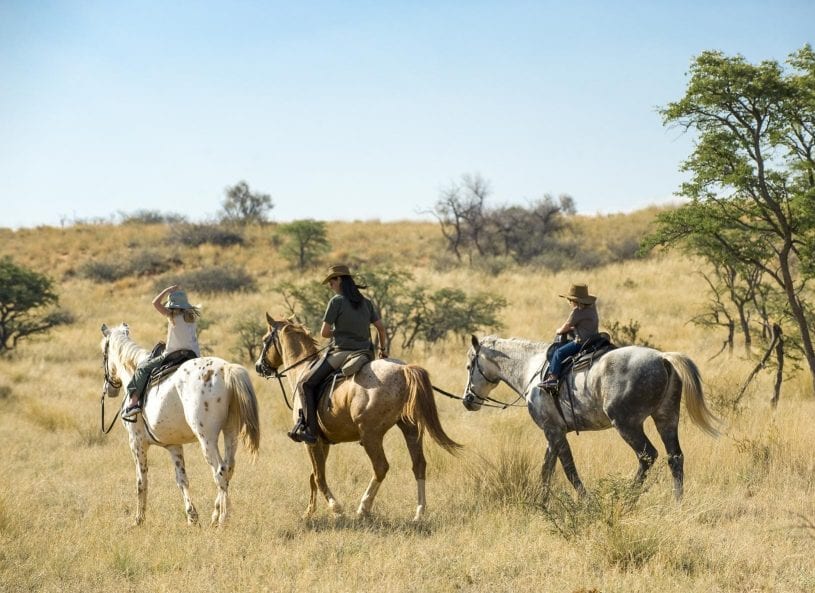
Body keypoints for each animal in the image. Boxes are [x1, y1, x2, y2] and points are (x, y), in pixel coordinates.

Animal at [101, 322, 260, 524]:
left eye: (104, 354)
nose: (109, 389)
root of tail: (226, 369)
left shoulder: (136, 442)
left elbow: (141, 481)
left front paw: (138, 520)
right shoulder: (174, 446)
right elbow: (181, 479)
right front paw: (192, 517)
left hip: (207, 439)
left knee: (220, 471)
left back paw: (221, 519)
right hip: (231, 432)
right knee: (229, 468)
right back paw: (216, 514)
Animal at [462, 336, 724, 498]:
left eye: (469, 366)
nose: (467, 400)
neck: (532, 370)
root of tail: (663, 358)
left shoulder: (554, 431)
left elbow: (568, 469)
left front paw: (585, 500)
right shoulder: (553, 433)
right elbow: (547, 469)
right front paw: (541, 502)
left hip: (627, 424)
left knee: (648, 456)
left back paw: (628, 497)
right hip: (666, 418)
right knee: (675, 457)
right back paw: (677, 500)